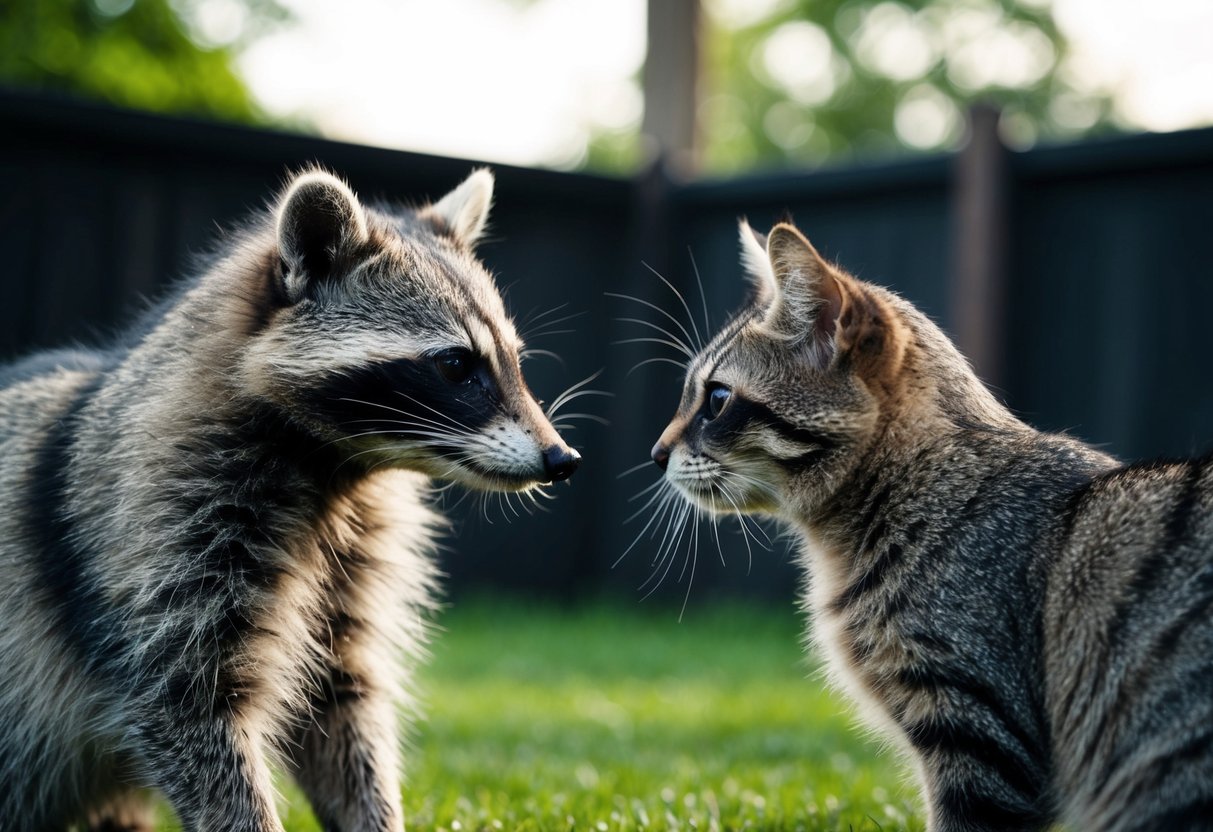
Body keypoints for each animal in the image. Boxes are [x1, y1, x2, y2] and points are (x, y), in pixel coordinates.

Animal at [0, 168, 581, 831]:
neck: (337, 470)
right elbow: (187, 708)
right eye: (456, 365)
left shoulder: (350, 568)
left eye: (514, 360)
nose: (563, 459)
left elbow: (342, 700)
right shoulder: (160, 533)